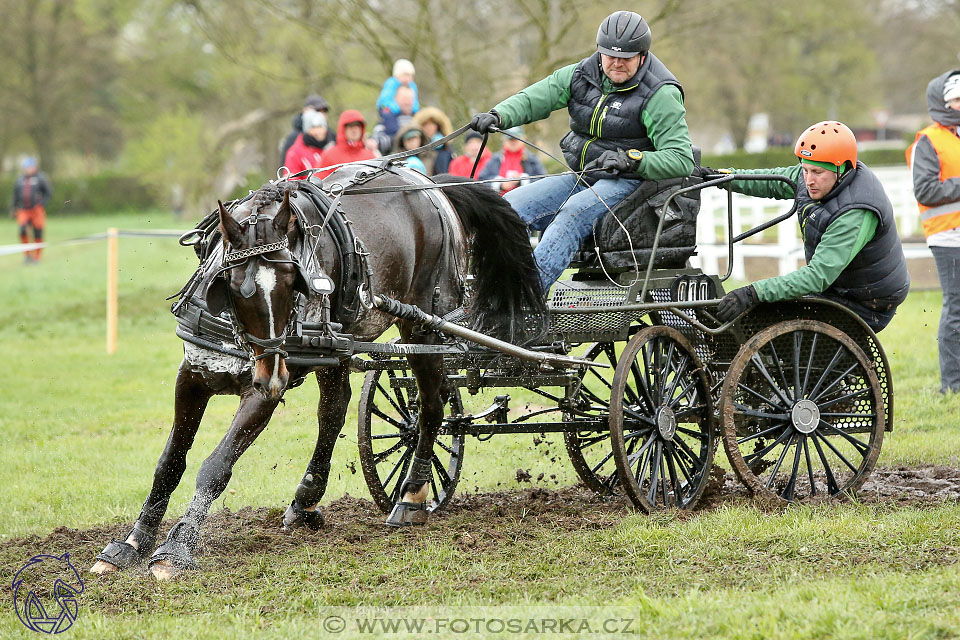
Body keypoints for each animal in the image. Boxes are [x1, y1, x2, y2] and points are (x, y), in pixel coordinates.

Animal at [90, 161, 544, 580]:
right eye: (235, 287)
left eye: (294, 282)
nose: (272, 375)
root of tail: (431, 185)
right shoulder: (193, 377)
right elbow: (170, 461)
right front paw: (132, 542)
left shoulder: (261, 393)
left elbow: (215, 467)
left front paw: (176, 548)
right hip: (335, 346)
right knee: (335, 409)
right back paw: (307, 499)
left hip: (424, 325)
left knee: (431, 404)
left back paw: (411, 496)